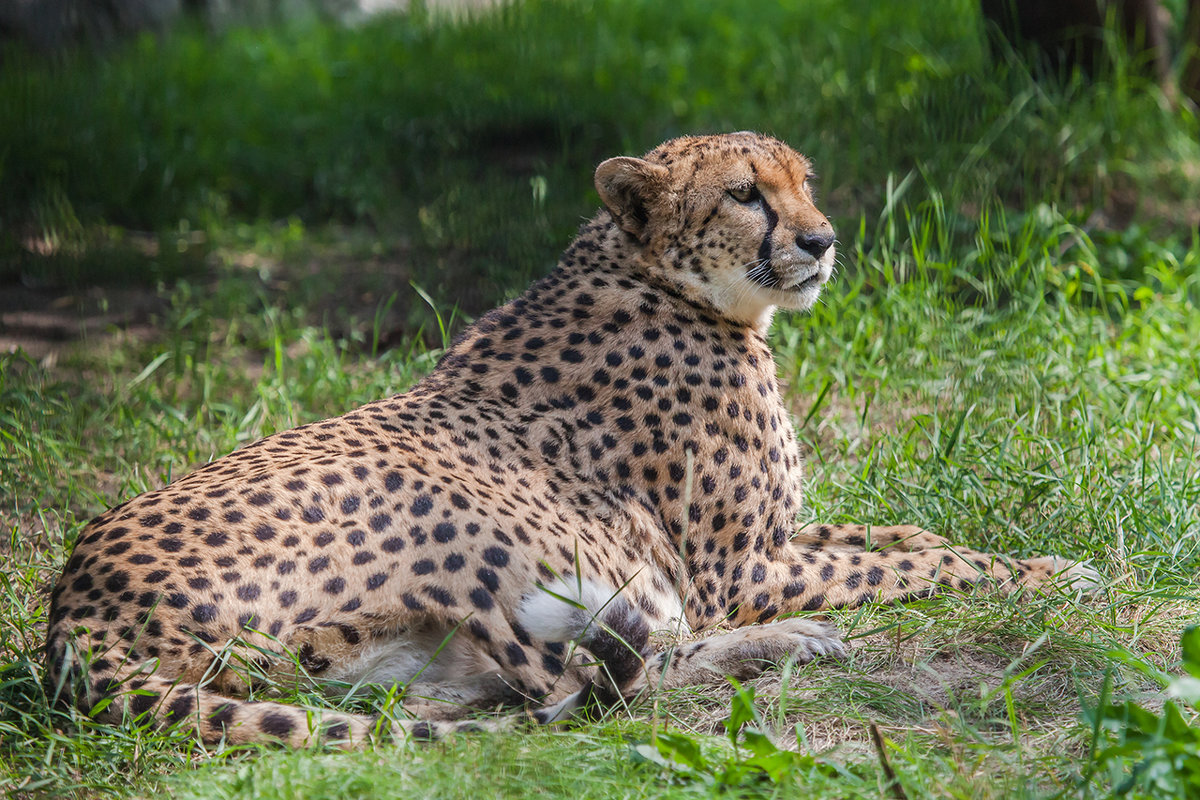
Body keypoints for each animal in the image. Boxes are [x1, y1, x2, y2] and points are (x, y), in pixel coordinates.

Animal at [46, 133, 1099, 753]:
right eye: (746, 195)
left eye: (804, 185)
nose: (822, 240)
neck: (665, 281)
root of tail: (75, 603)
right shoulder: (734, 573)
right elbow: (917, 564)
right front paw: (1049, 578)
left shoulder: (769, 545)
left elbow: (900, 540)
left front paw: (1031, 563)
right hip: (465, 518)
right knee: (587, 692)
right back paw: (781, 644)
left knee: (530, 689)